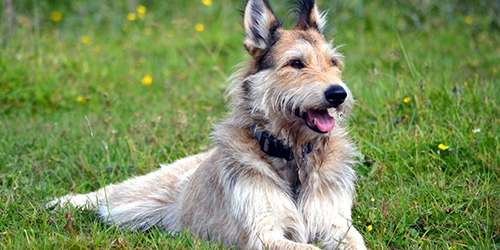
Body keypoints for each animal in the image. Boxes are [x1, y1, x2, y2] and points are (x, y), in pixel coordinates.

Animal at [46, 0, 368, 249]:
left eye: (333, 63)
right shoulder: (263, 233)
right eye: (296, 63)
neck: (292, 155)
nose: (339, 94)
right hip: (134, 201)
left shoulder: (337, 226)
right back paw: (63, 202)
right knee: (109, 193)